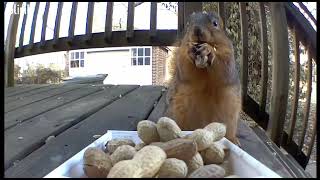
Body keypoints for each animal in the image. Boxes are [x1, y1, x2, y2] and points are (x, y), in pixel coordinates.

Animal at [164, 11, 241, 146]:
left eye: (215, 24)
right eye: (188, 24)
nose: (197, 30)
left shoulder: (228, 53)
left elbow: (224, 67)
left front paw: (209, 50)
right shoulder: (182, 55)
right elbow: (186, 68)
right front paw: (191, 52)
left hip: (230, 117)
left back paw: (233, 140)